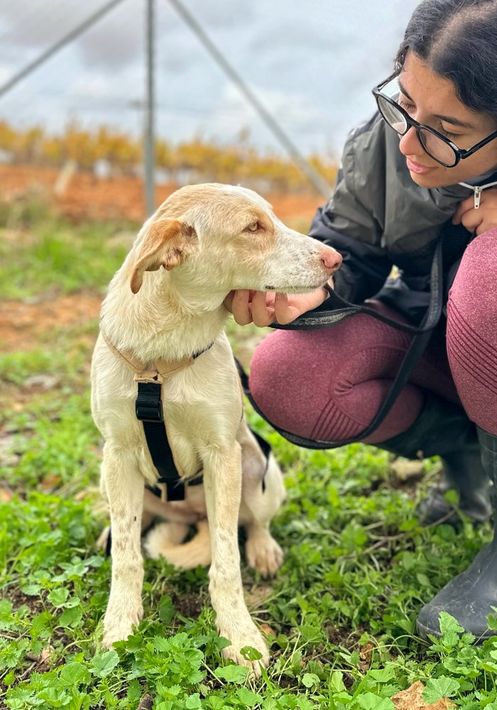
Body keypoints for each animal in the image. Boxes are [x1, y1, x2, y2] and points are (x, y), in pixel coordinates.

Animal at [91, 183, 342, 672]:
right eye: (253, 228)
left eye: (271, 218)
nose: (336, 259)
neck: (163, 353)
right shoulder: (119, 452)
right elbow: (127, 558)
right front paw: (119, 627)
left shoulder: (222, 453)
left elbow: (226, 562)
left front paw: (240, 638)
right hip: (110, 475)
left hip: (257, 466)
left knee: (254, 522)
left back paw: (263, 548)